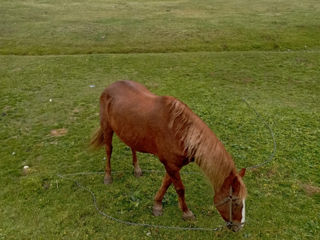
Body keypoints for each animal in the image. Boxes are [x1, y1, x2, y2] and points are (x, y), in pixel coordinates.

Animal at [90, 81, 248, 232]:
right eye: (235, 201)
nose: (239, 227)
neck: (180, 132)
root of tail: (110, 87)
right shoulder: (171, 165)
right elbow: (180, 189)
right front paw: (186, 213)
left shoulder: (173, 165)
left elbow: (166, 183)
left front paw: (157, 204)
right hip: (107, 127)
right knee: (108, 151)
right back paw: (108, 177)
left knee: (132, 147)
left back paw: (137, 169)